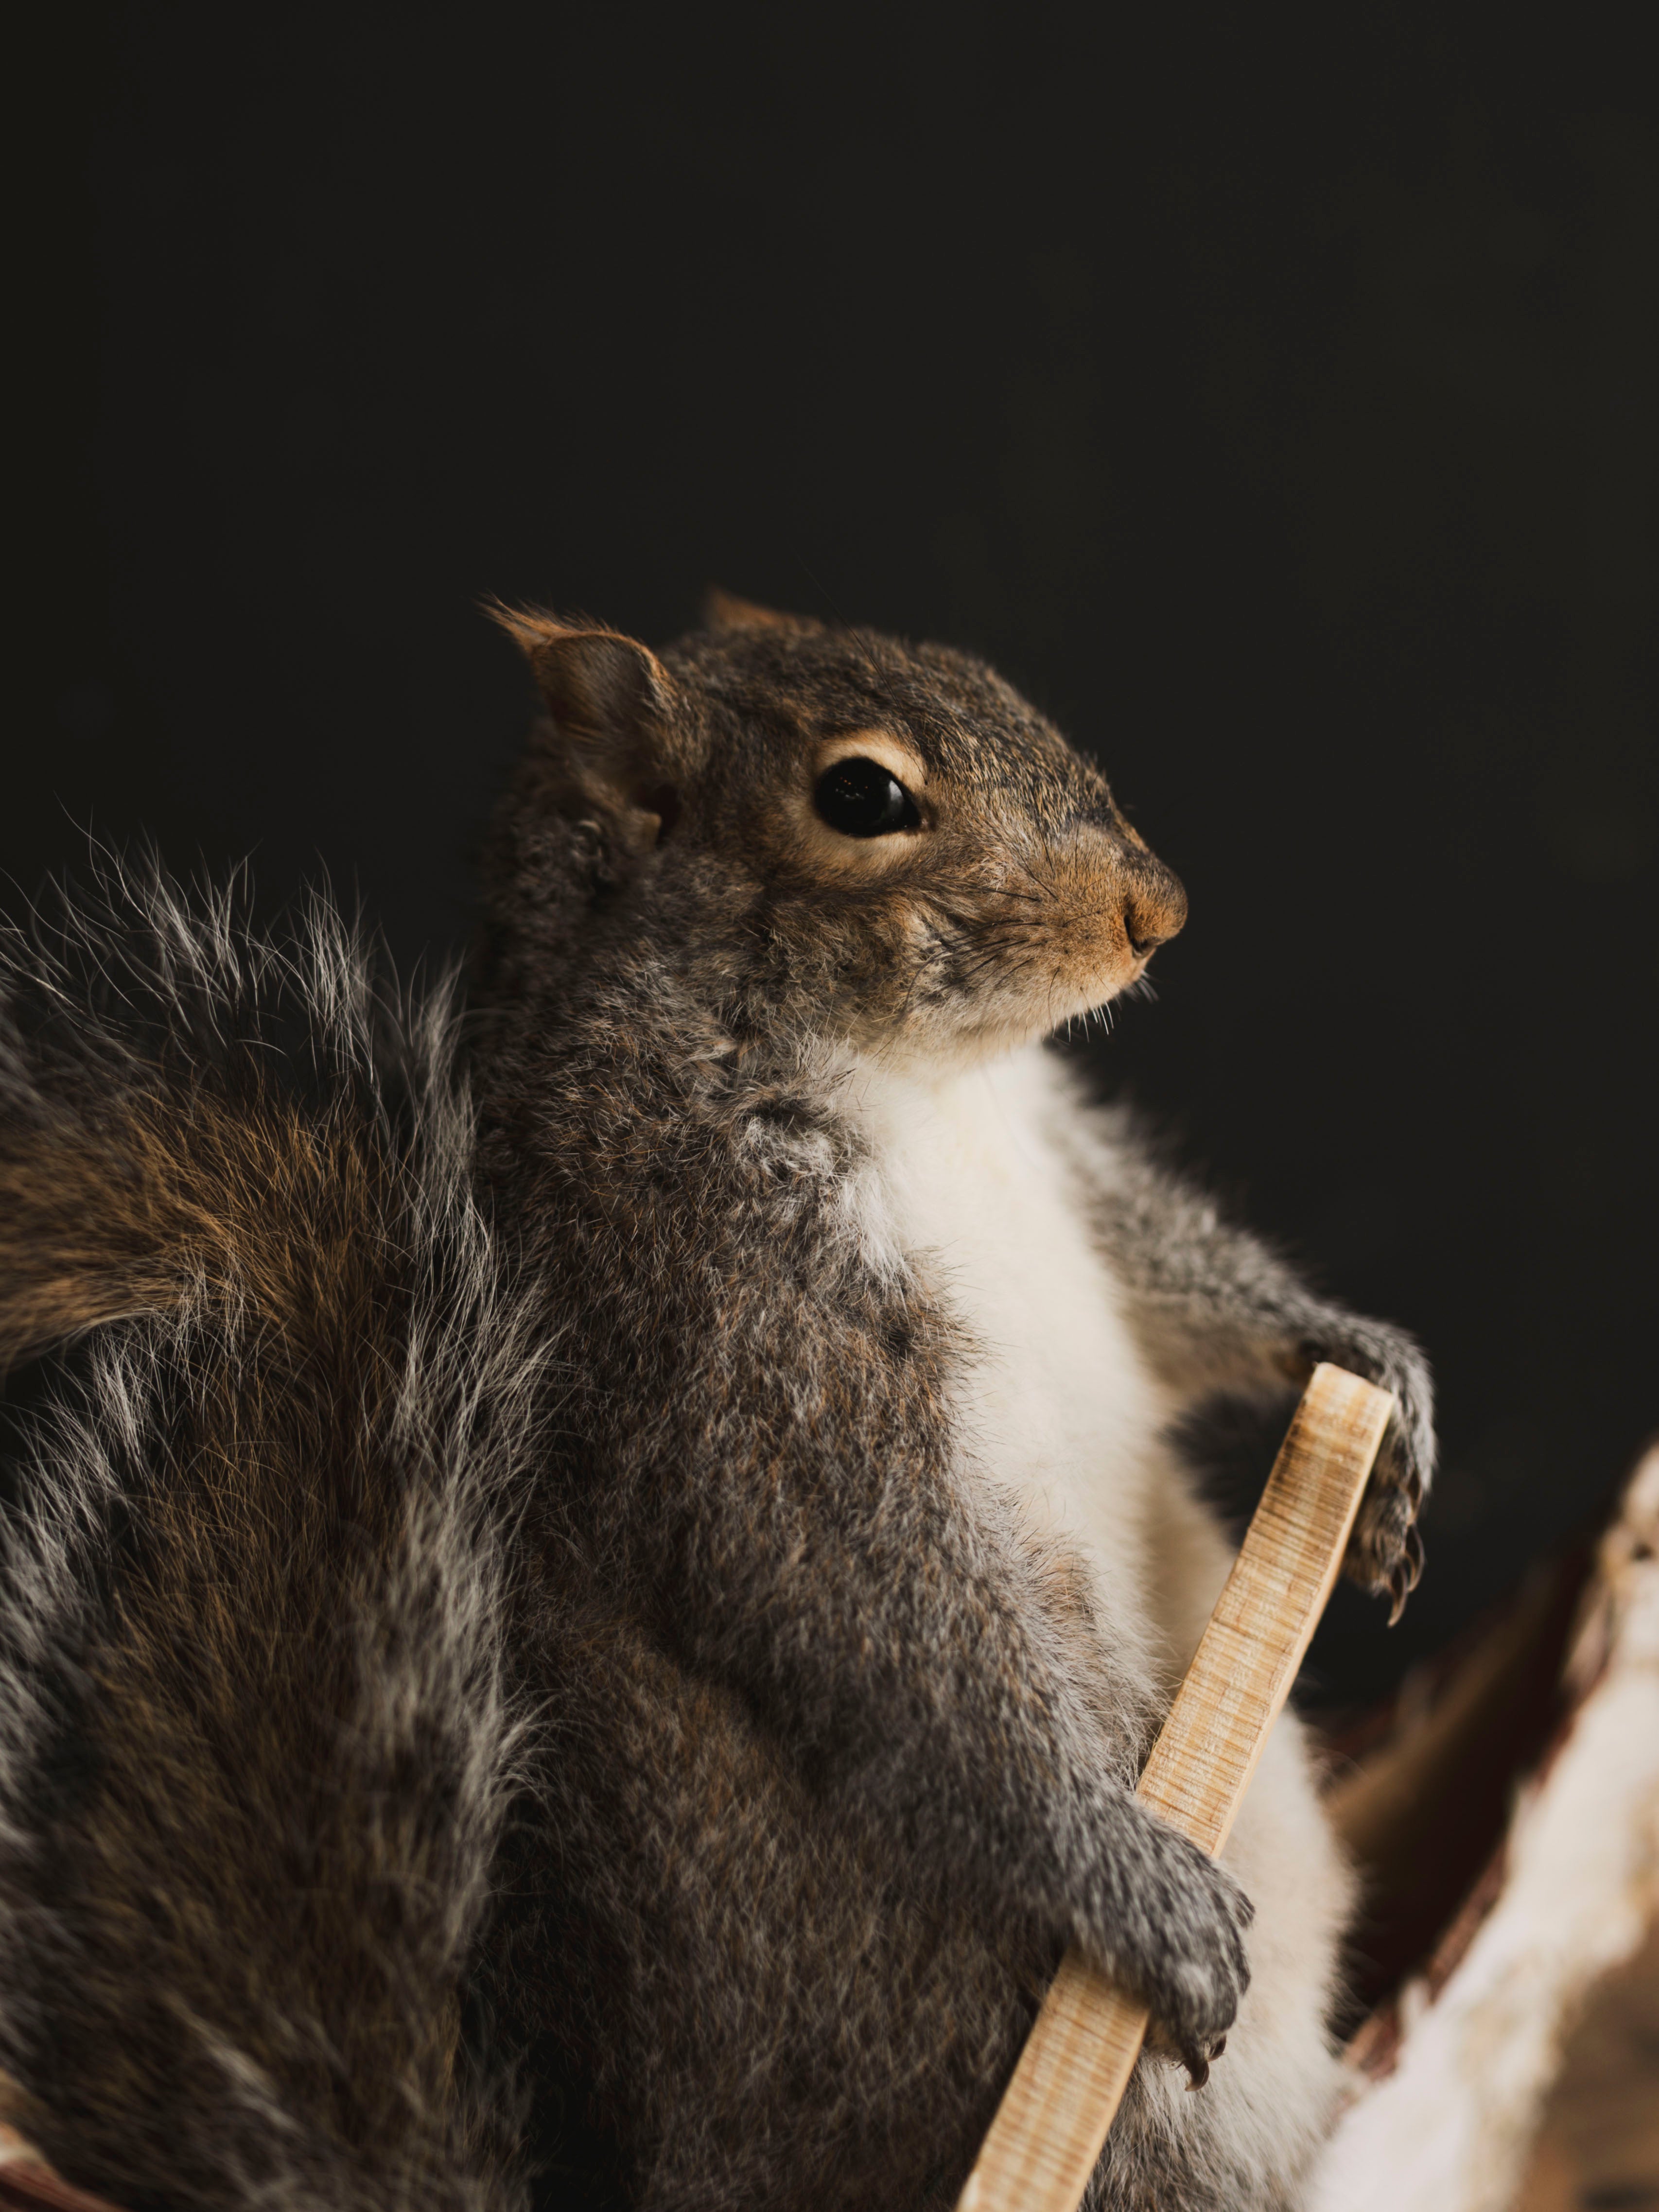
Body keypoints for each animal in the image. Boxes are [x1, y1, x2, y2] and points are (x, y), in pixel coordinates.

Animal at [0, 597, 1433, 2212]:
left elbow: (1172, 1279)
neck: (917, 1081)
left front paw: (1372, 1369)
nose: (1158, 909)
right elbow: (885, 1614)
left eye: (985, 677)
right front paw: (1127, 1879)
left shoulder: (1071, 1169)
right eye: (861, 795)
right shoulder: (722, 1322)